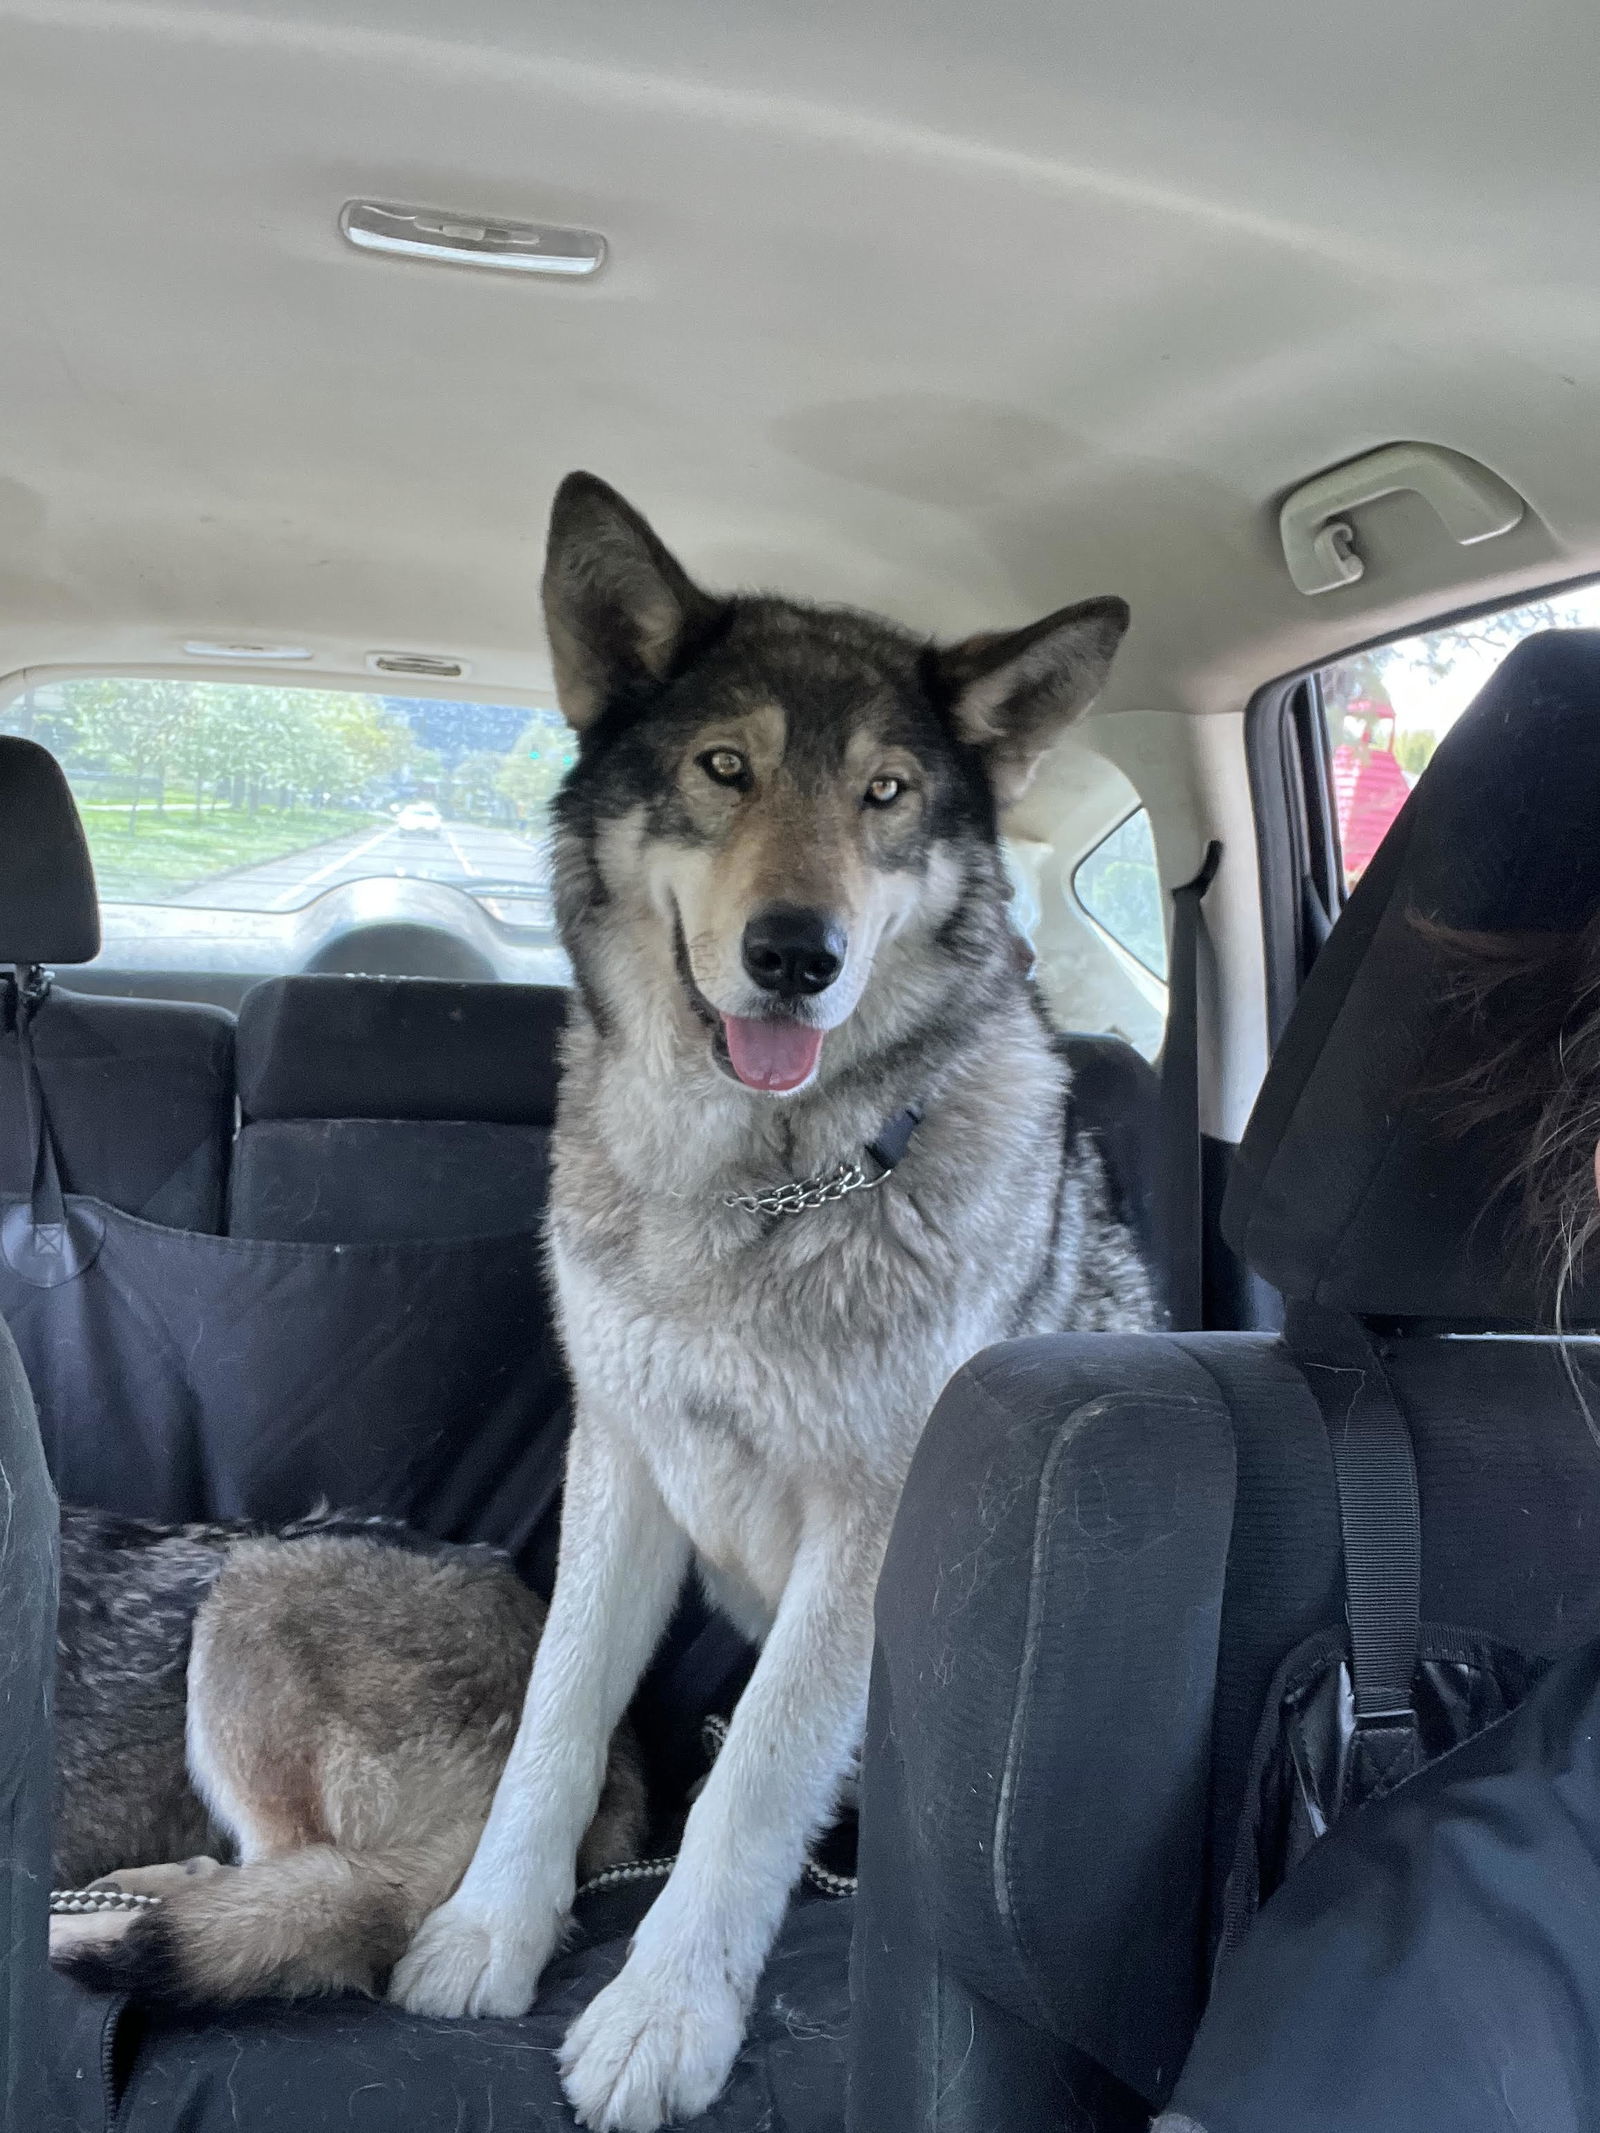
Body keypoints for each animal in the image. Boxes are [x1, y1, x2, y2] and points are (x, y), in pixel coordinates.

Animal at [392, 475, 1160, 2124]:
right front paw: (489, 1927)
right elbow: (554, 1717)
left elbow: (750, 1785)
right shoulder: (622, 1461)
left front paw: (662, 2011)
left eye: (885, 793)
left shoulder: (867, 1528)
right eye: (725, 767)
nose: (796, 955)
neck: (754, 1190)